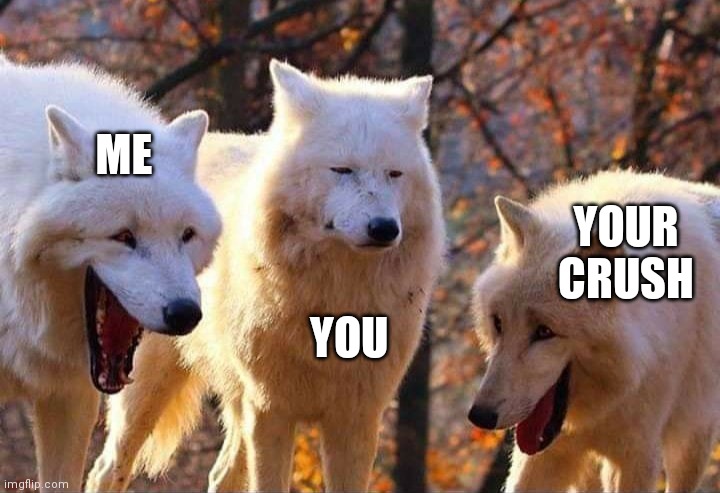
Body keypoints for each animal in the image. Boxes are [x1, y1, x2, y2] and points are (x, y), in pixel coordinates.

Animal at [86, 60, 445, 492]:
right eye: (342, 170)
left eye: (395, 174)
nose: (384, 229)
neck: (335, 303)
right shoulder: (271, 409)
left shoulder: (357, 417)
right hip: (148, 387)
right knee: (107, 469)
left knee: (221, 474)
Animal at [468, 170, 720, 492]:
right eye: (499, 323)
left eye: (544, 332)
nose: (480, 416)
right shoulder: (545, 453)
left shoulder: (638, 457)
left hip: (691, 443)